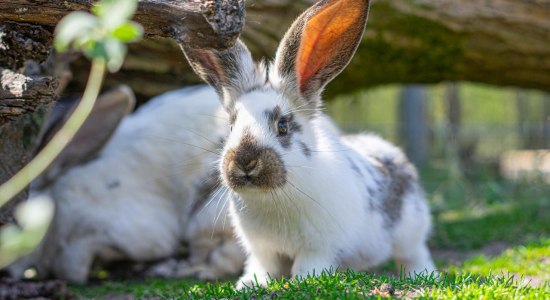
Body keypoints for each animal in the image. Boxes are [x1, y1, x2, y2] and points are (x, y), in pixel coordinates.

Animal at [183, 0, 438, 288]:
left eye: (282, 125)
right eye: (231, 126)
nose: (245, 161)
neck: (272, 198)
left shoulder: (318, 248)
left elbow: (309, 266)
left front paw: (303, 281)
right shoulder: (263, 250)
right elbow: (263, 268)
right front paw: (250, 284)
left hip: (410, 232)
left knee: (415, 255)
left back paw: (422, 275)